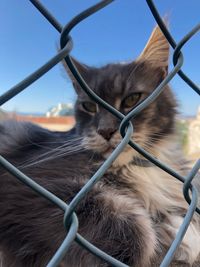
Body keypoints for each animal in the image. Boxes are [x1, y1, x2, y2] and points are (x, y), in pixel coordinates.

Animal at [0, 24, 200, 266]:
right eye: (88, 106)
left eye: (132, 99)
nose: (105, 131)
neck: (137, 167)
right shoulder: (36, 187)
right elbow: (136, 231)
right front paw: (169, 240)